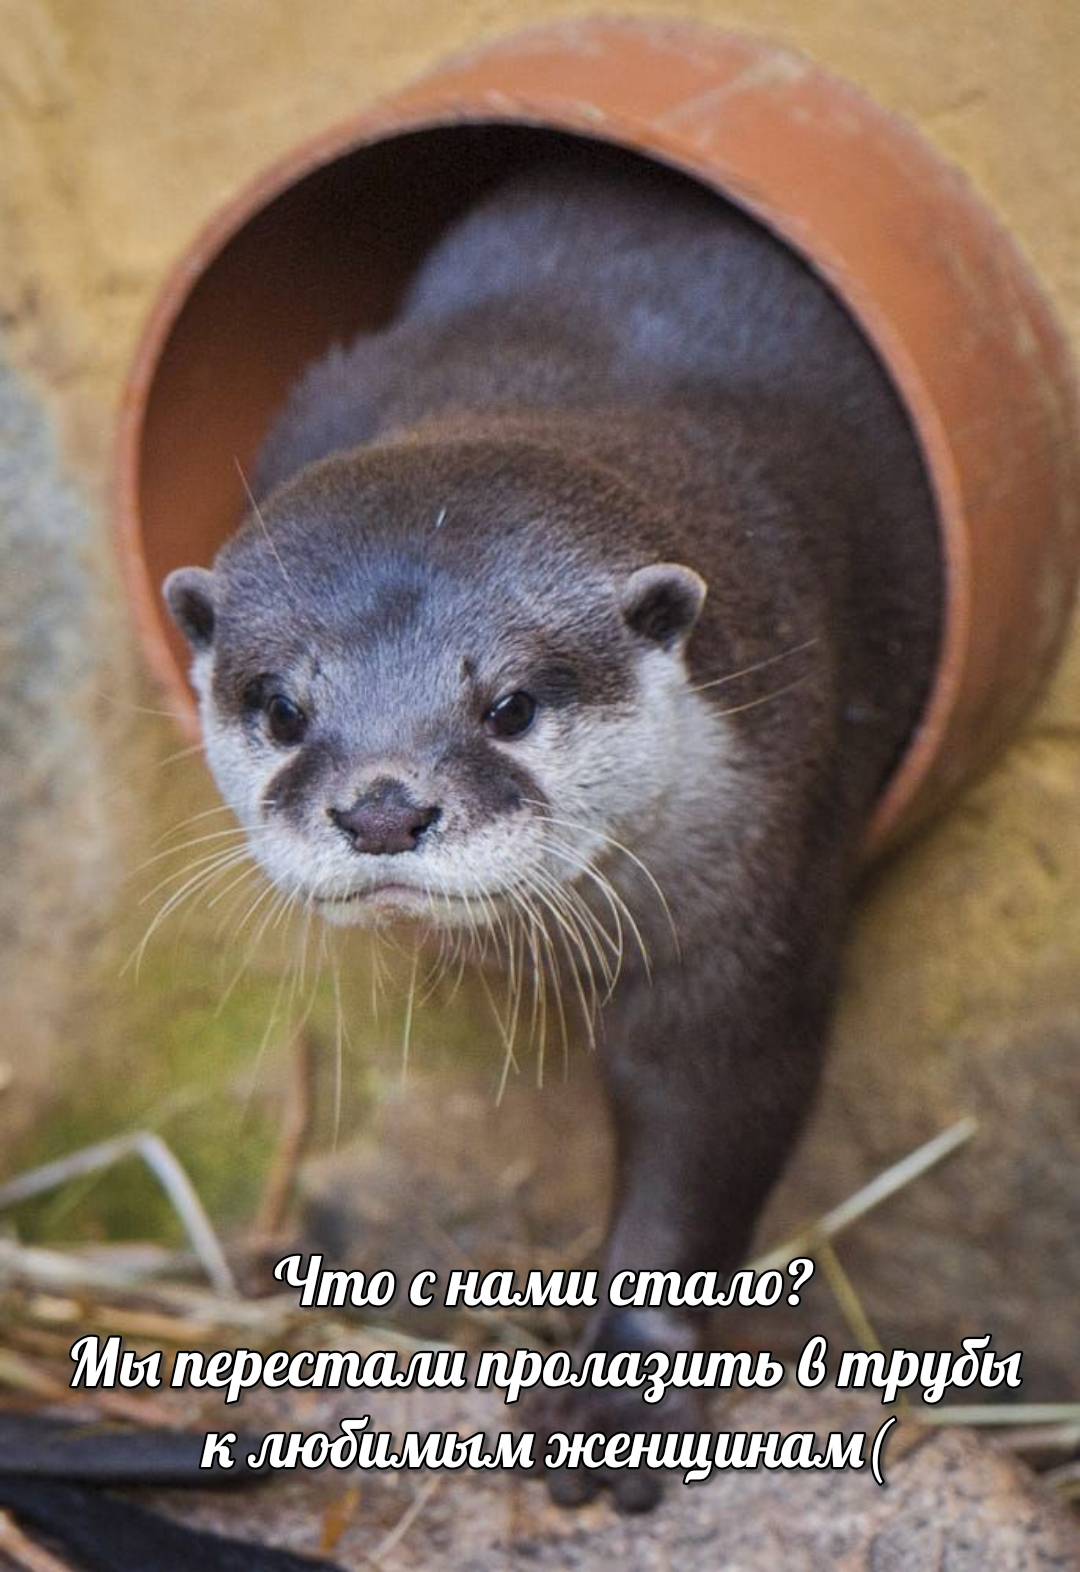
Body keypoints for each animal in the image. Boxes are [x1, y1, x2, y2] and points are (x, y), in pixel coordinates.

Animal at [164, 148, 941, 1511]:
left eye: (513, 705)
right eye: (281, 706)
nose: (383, 806)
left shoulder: (758, 868)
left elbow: (708, 1107)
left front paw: (623, 1397)